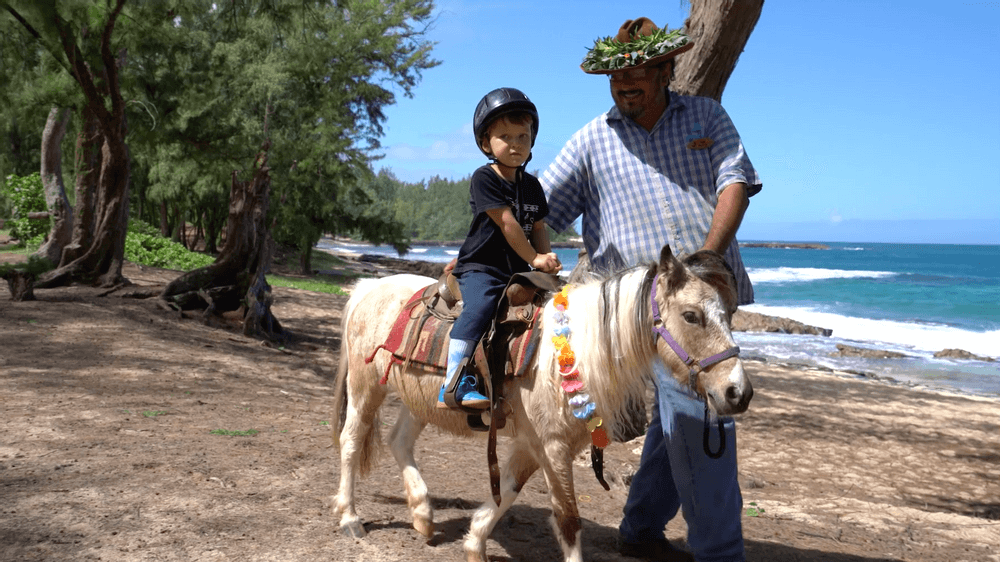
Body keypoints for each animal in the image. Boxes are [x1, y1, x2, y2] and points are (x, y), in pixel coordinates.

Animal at [332, 245, 752, 560]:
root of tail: (367, 287)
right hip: (365, 387)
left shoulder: (534, 444)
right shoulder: (553, 447)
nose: (738, 392)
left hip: (419, 399)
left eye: (729, 315)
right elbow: (567, 519)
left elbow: (508, 491)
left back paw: (422, 514)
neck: (575, 349)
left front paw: (474, 543)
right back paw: (350, 517)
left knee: (399, 440)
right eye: (691, 316)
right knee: (351, 440)